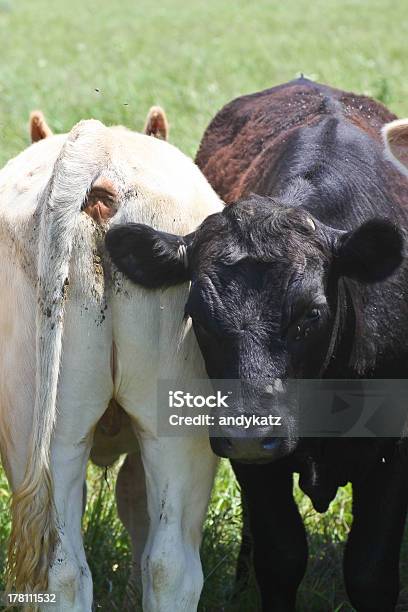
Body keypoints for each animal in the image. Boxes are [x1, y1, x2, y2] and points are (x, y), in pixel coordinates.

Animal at [107, 79, 408, 608]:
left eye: (311, 313)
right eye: (198, 316)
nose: (251, 432)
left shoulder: (394, 449)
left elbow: (370, 572)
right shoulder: (252, 462)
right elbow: (280, 555)